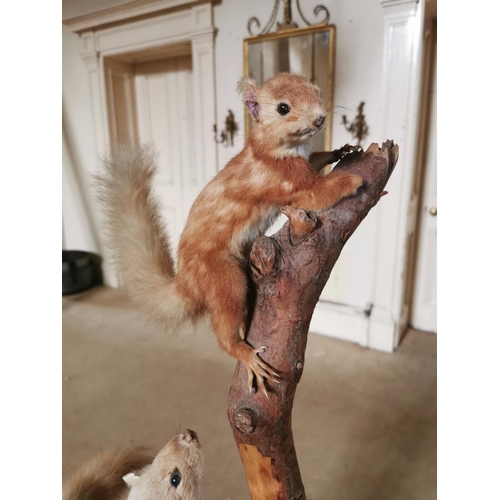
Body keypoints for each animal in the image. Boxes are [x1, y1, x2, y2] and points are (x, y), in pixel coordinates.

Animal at [97, 72, 364, 396]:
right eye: (283, 108)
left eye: (316, 90)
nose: (319, 118)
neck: (271, 150)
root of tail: (186, 283)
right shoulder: (290, 182)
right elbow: (318, 192)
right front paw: (354, 179)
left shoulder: (304, 161)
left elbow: (315, 157)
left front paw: (341, 151)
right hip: (224, 280)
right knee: (224, 330)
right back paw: (246, 354)